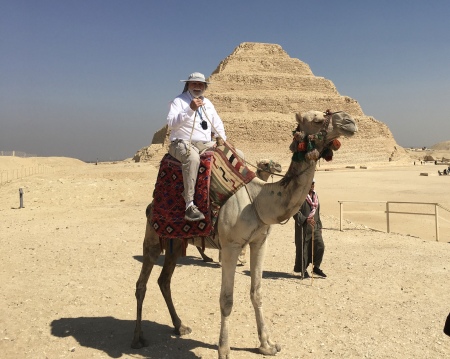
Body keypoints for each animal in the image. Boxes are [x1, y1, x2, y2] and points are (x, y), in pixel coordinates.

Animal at [132, 111, 356, 358]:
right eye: (316, 119)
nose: (349, 121)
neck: (258, 199)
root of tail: (151, 205)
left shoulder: (259, 242)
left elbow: (256, 292)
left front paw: (267, 345)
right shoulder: (231, 246)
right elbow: (226, 299)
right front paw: (224, 350)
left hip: (175, 243)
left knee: (164, 280)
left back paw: (180, 326)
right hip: (153, 237)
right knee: (141, 284)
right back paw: (137, 338)